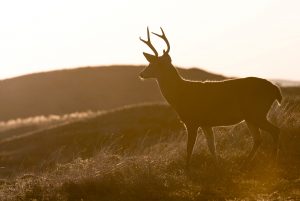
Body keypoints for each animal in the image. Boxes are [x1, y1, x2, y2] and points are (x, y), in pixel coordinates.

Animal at [138, 26, 282, 168]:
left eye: (155, 64)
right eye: (151, 63)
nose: (141, 74)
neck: (181, 93)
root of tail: (275, 88)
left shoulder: (192, 121)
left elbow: (189, 148)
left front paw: (187, 169)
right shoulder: (206, 123)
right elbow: (212, 146)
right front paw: (217, 166)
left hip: (257, 112)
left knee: (275, 130)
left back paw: (273, 161)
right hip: (250, 116)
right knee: (258, 138)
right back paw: (245, 164)